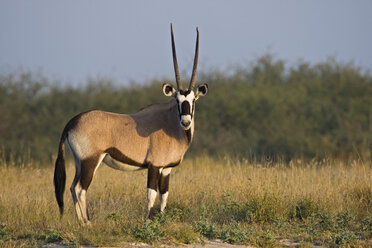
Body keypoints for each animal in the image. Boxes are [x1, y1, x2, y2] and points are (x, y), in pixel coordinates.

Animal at [53, 24, 208, 225]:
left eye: (193, 100)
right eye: (177, 100)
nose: (186, 121)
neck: (171, 125)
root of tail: (73, 121)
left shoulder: (166, 170)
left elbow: (164, 196)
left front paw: (162, 219)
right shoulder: (154, 166)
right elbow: (151, 194)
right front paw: (148, 221)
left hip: (80, 162)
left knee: (72, 187)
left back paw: (82, 223)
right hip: (90, 160)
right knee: (80, 188)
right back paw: (87, 223)